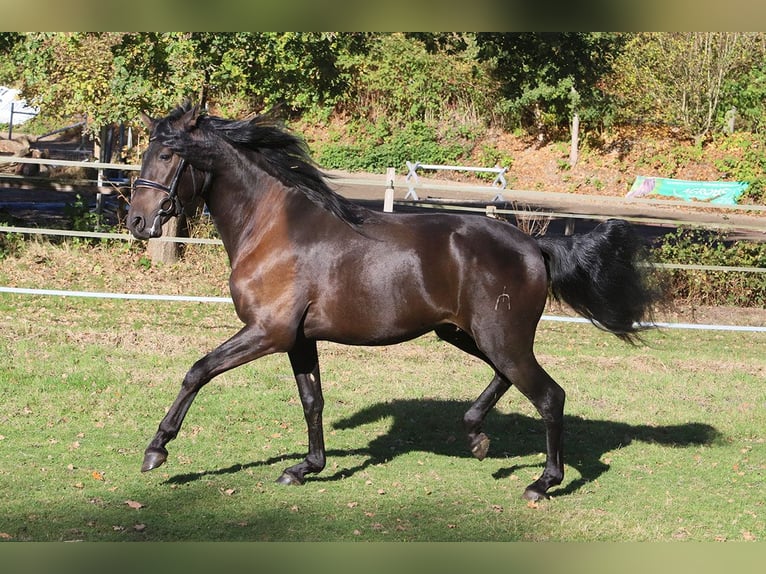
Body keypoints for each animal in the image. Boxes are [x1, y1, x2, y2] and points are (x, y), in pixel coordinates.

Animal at [126, 102, 661, 501]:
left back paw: (542, 482)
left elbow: (197, 370)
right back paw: (476, 435)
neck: (272, 227)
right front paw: (305, 467)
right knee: (509, 378)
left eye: (169, 155)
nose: (137, 222)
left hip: (500, 336)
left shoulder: (268, 332)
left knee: (549, 395)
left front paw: (156, 450)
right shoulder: (297, 339)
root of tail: (535, 246)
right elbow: (312, 400)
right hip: (466, 333)